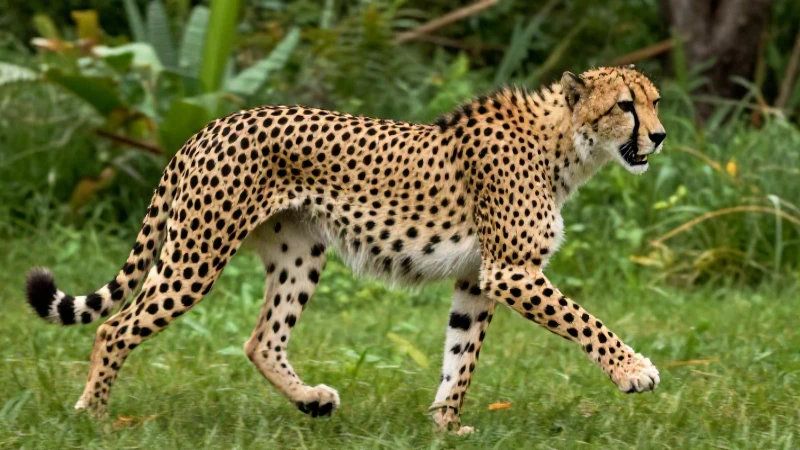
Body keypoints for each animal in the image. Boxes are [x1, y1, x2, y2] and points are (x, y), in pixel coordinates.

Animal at [25, 66, 665, 433]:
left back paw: (311, 401)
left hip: (300, 254)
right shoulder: (511, 271)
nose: (659, 136)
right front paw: (634, 371)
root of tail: (209, 126)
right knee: (115, 327)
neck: (567, 144)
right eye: (625, 105)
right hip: (195, 255)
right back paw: (94, 418)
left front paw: (446, 426)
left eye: (654, 102)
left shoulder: (477, 279)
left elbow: (460, 356)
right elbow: (585, 321)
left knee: (262, 340)